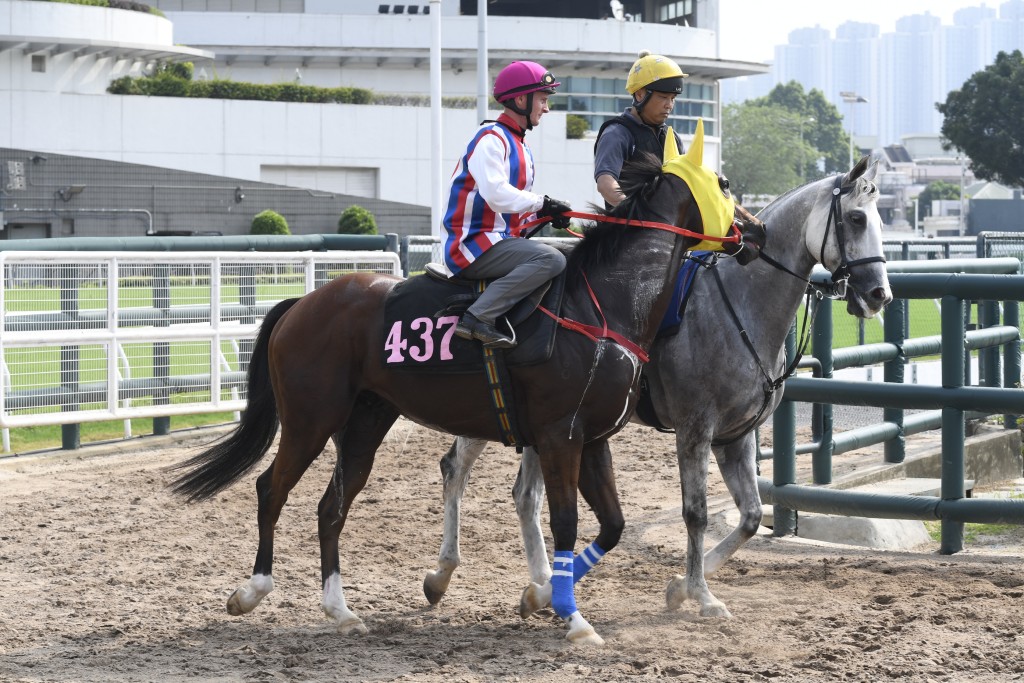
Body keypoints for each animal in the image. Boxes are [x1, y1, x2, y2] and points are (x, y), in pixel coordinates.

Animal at [169, 120, 761, 643]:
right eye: (725, 183)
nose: (753, 233)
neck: (604, 303)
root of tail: (302, 303)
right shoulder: (560, 436)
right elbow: (565, 523)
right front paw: (571, 617)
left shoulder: (593, 438)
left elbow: (612, 526)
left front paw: (544, 597)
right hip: (310, 420)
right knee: (272, 489)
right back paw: (252, 591)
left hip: (363, 426)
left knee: (330, 508)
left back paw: (341, 611)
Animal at [419, 157, 892, 622]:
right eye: (855, 218)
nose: (878, 294)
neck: (738, 305)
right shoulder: (695, 431)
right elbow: (697, 514)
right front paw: (700, 594)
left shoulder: (736, 437)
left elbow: (751, 517)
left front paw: (680, 587)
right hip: (494, 412)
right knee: (456, 470)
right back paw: (444, 575)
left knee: (525, 496)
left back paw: (541, 587)